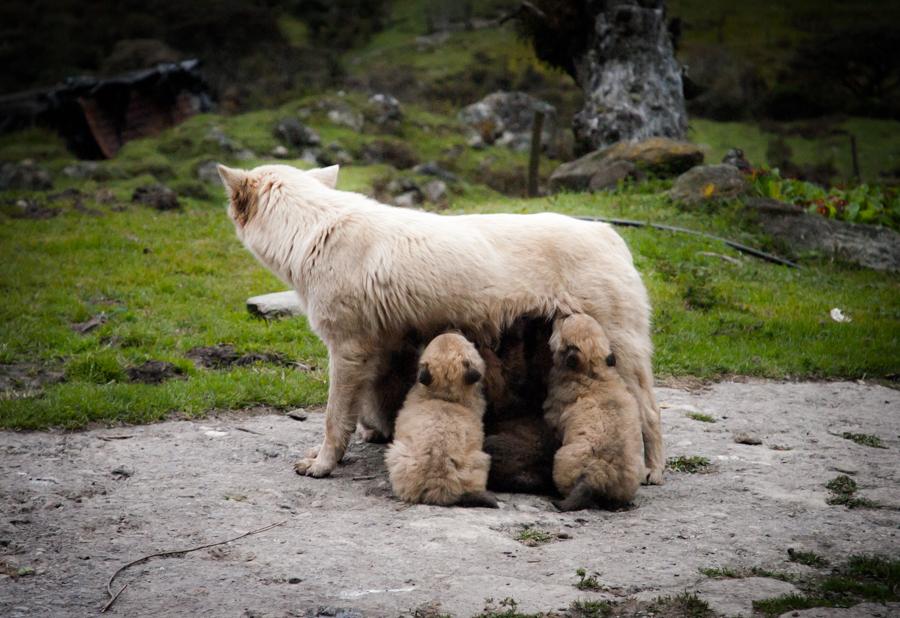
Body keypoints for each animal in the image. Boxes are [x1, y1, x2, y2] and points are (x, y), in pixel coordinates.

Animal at [217, 161, 660, 484]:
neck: (312, 230)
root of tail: (608, 234)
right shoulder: (380, 349)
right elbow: (370, 404)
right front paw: (371, 435)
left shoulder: (346, 350)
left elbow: (334, 419)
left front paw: (324, 464)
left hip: (620, 355)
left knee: (651, 413)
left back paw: (652, 471)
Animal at [544, 312, 644, 510]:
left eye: (564, 322)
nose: (566, 313)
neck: (593, 373)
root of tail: (599, 473)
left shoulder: (554, 413)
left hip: (563, 462)